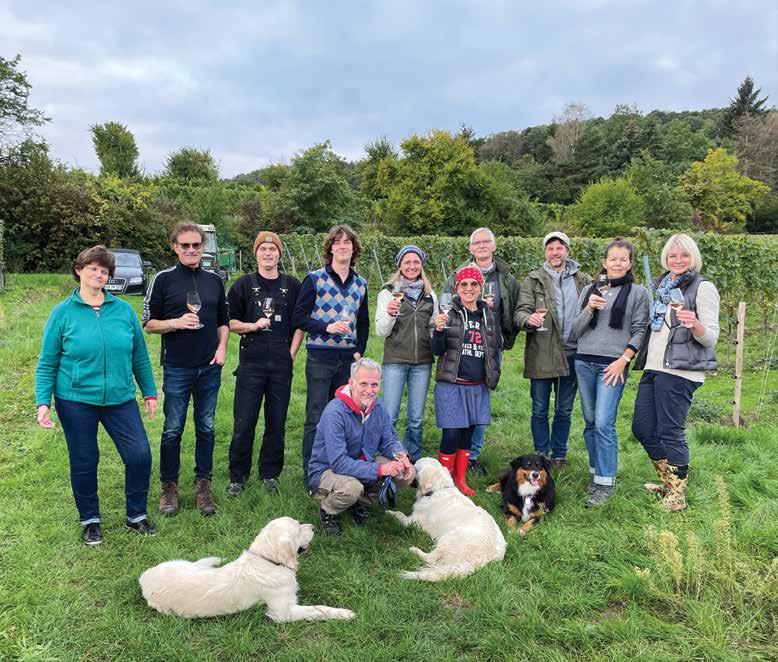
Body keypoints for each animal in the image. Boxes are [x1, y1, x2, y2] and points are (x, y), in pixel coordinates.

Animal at [139, 517, 355, 622]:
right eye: (298, 529)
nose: (313, 528)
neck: (266, 560)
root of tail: (144, 579)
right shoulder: (283, 612)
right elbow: (318, 609)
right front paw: (344, 614)